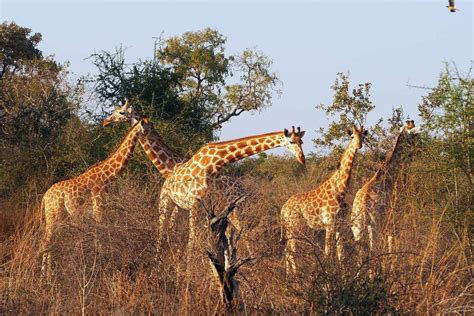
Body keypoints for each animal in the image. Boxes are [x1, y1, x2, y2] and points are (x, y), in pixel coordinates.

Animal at [40, 118, 148, 276]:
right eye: (147, 126)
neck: (106, 176)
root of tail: (44, 197)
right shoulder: (98, 209)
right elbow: (101, 236)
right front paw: (100, 267)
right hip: (54, 215)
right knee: (47, 242)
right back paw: (45, 276)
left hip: (56, 217)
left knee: (50, 242)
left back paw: (49, 274)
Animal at [282, 124, 366, 274]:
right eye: (352, 136)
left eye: (363, 136)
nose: (359, 145)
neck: (341, 190)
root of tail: (283, 208)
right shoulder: (329, 224)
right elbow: (328, 253)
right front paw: (328, 276)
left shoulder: (340, 226)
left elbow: (341, 254)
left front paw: (342, 275)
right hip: (294, 227)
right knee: (291, 251)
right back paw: (295, 277)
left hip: (292, 228)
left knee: (287, 250)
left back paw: (288, 277)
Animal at [348, 120, 418, 252]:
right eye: (412, 132)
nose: (415, 149)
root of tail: (362, 205)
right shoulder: (391, 215)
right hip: (374, 223)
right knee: (373, 246)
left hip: (357, 227)